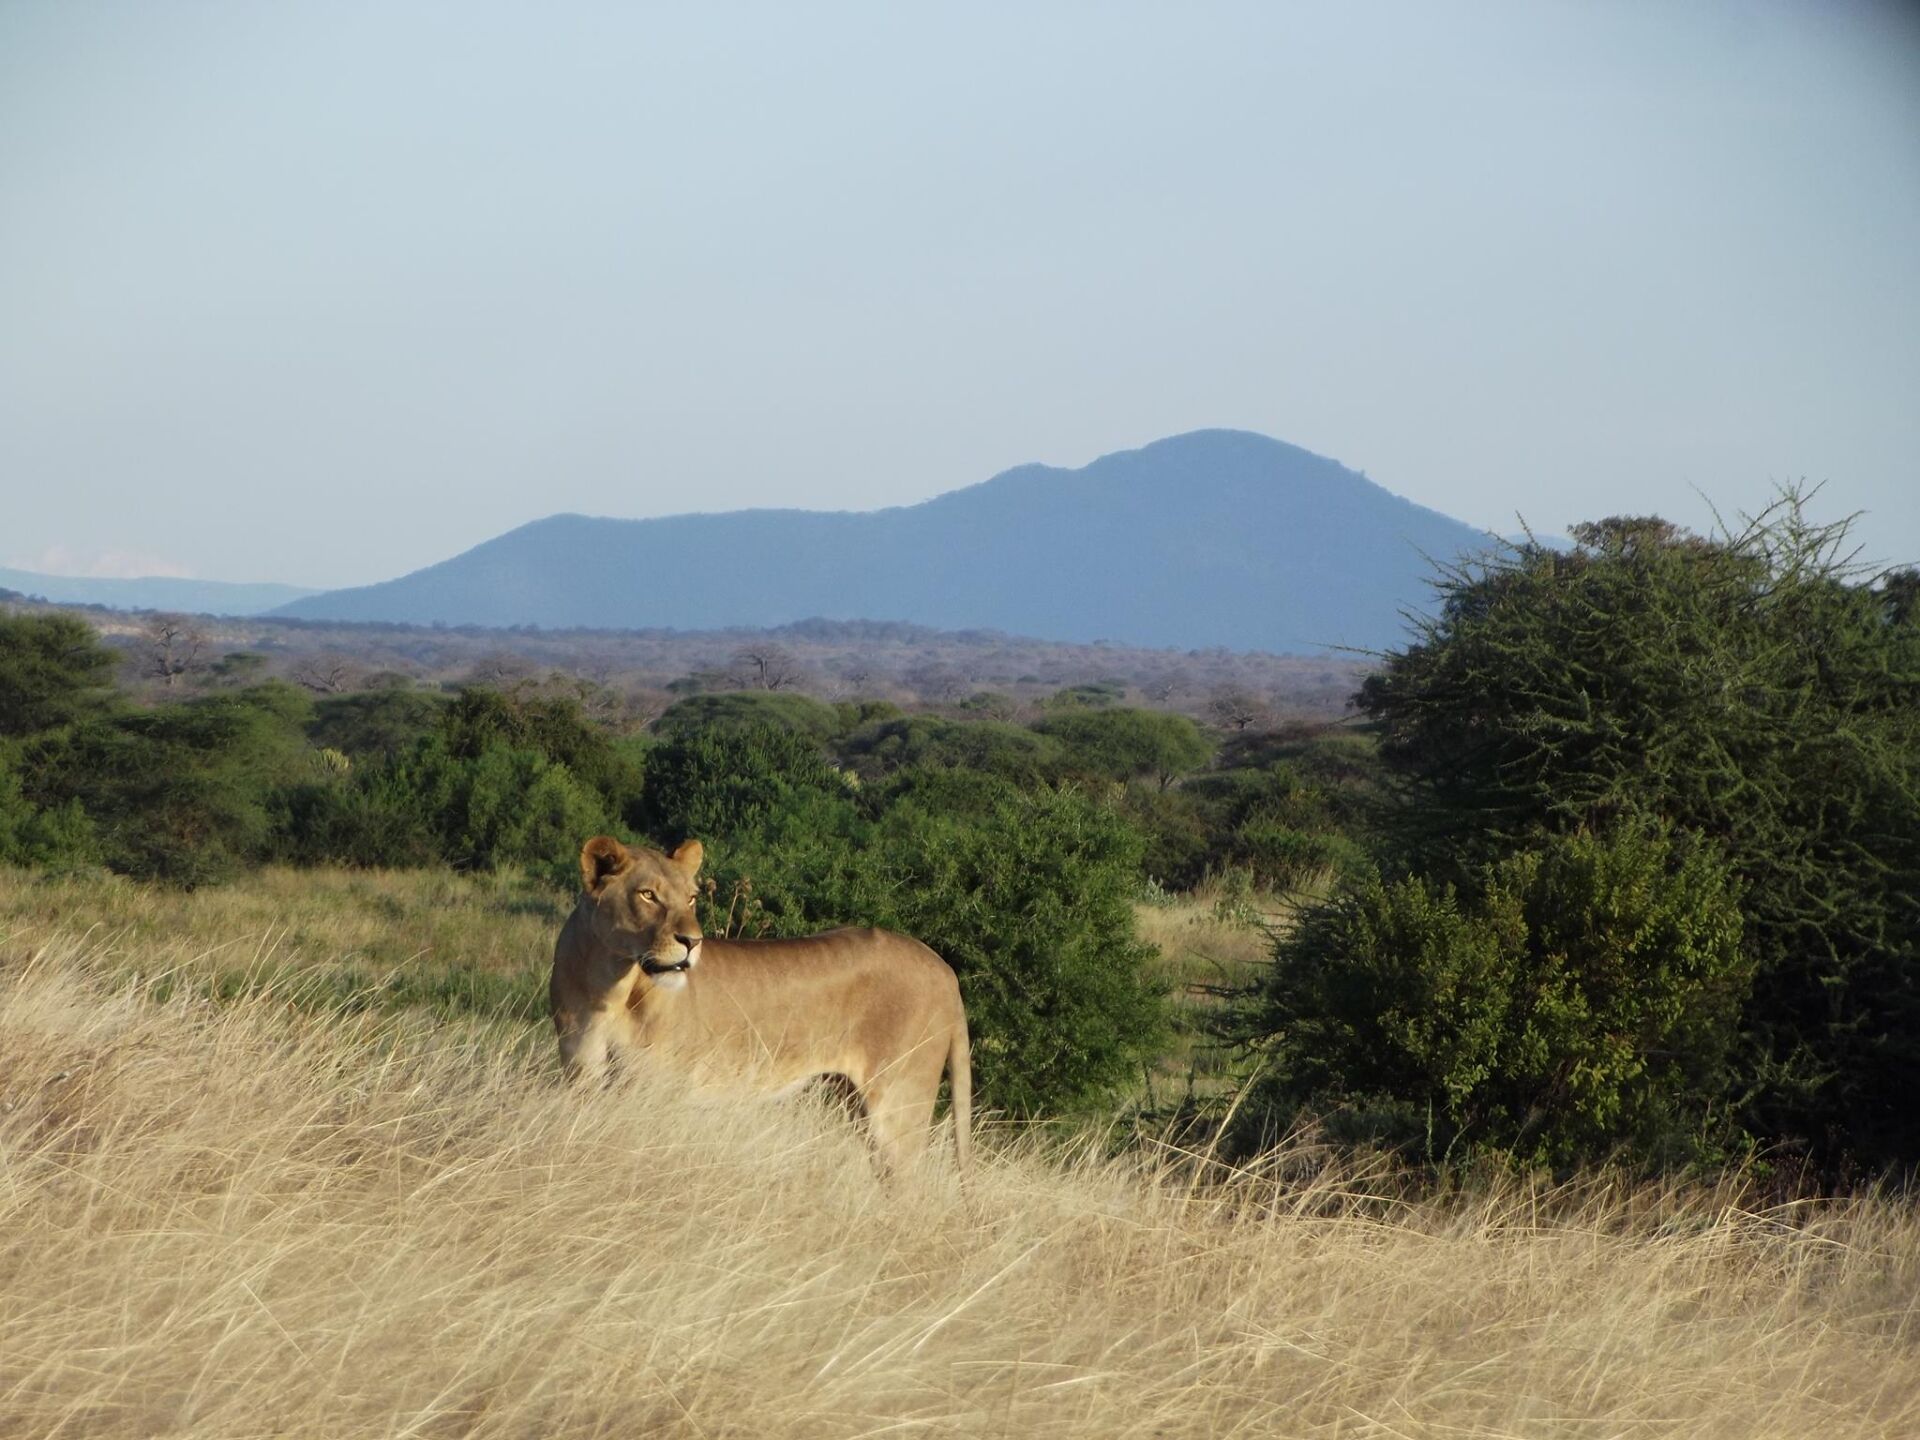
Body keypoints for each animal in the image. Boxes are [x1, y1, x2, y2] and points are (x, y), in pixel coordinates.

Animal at [549, 835, 972, 1174]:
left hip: (899, 1106)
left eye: (690, 898)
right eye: (647, 895)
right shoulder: (579, 1076)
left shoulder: (653, 1093)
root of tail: (945, 970)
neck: (607, 987)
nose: (692, 942)